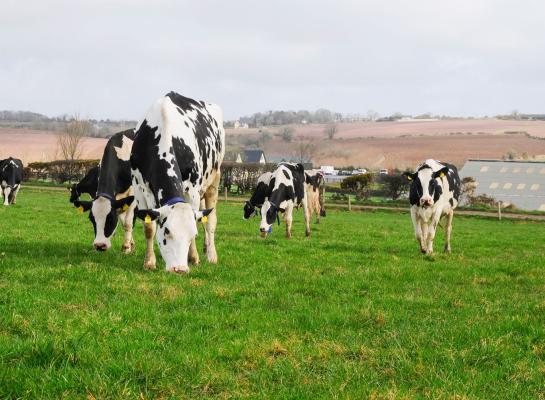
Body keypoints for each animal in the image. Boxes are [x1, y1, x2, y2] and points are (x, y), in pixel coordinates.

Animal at [131, 92, 224, 274]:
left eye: (192, 235)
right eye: (167, 232)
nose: (180, 269)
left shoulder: (193, 189)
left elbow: (197, 221)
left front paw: (193, 257)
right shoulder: (139, 186)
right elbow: (149, 227)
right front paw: (149, 261)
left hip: (213, 180)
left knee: (210, 222)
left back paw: (211, 255)